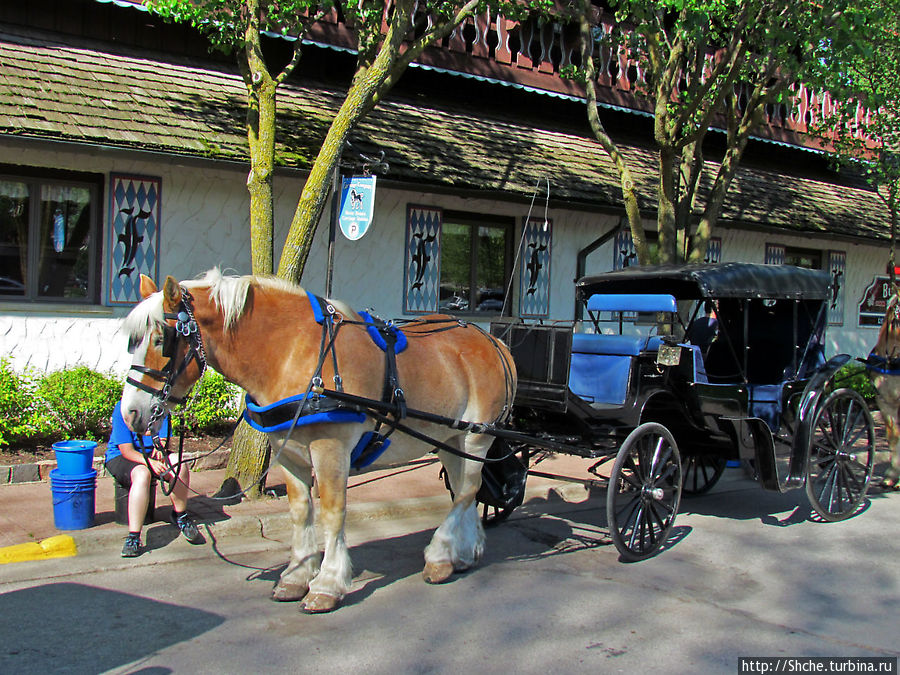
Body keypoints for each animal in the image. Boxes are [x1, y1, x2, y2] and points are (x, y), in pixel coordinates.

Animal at [117, 268, 516, 612]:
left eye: (160, 340)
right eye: (130, 342)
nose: (131, 414)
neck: (292, 351)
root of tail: (492, 340)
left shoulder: (331, 449)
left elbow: (333, 512)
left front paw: (327, 584)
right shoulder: (288, 451)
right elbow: (300, 511)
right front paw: (296, 576)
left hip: (476, 436)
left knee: (467, 491)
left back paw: (439, 555)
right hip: (448, 437)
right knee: (464, 491)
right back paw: (461, 553)